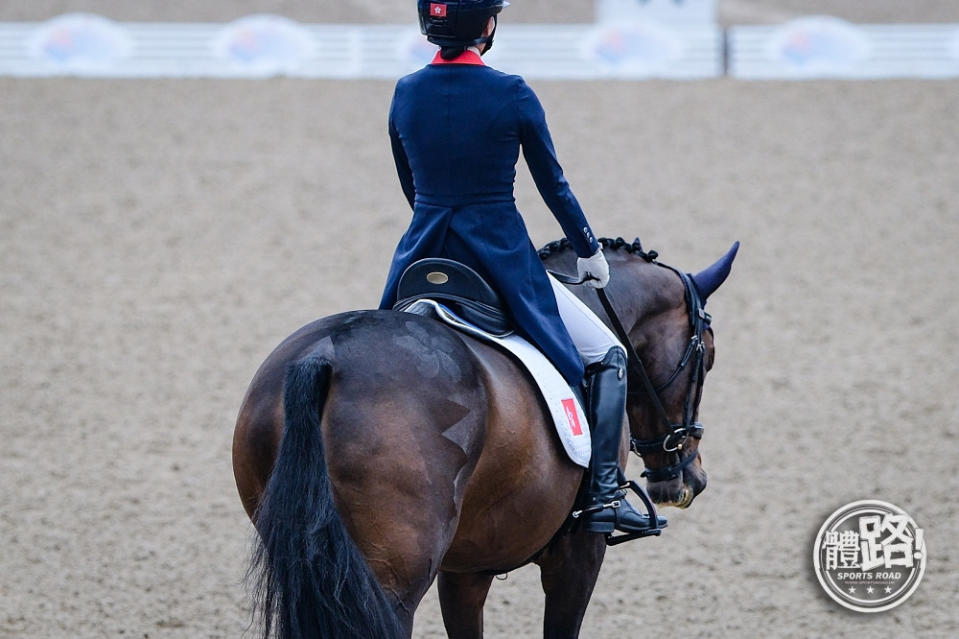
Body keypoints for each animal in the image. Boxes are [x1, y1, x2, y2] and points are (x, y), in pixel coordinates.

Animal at [234, 238, 744, 636]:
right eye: (709, 356)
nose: (687, 481)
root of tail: (324, 356)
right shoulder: (579, 554)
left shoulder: (467, 569)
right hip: (391, 585)